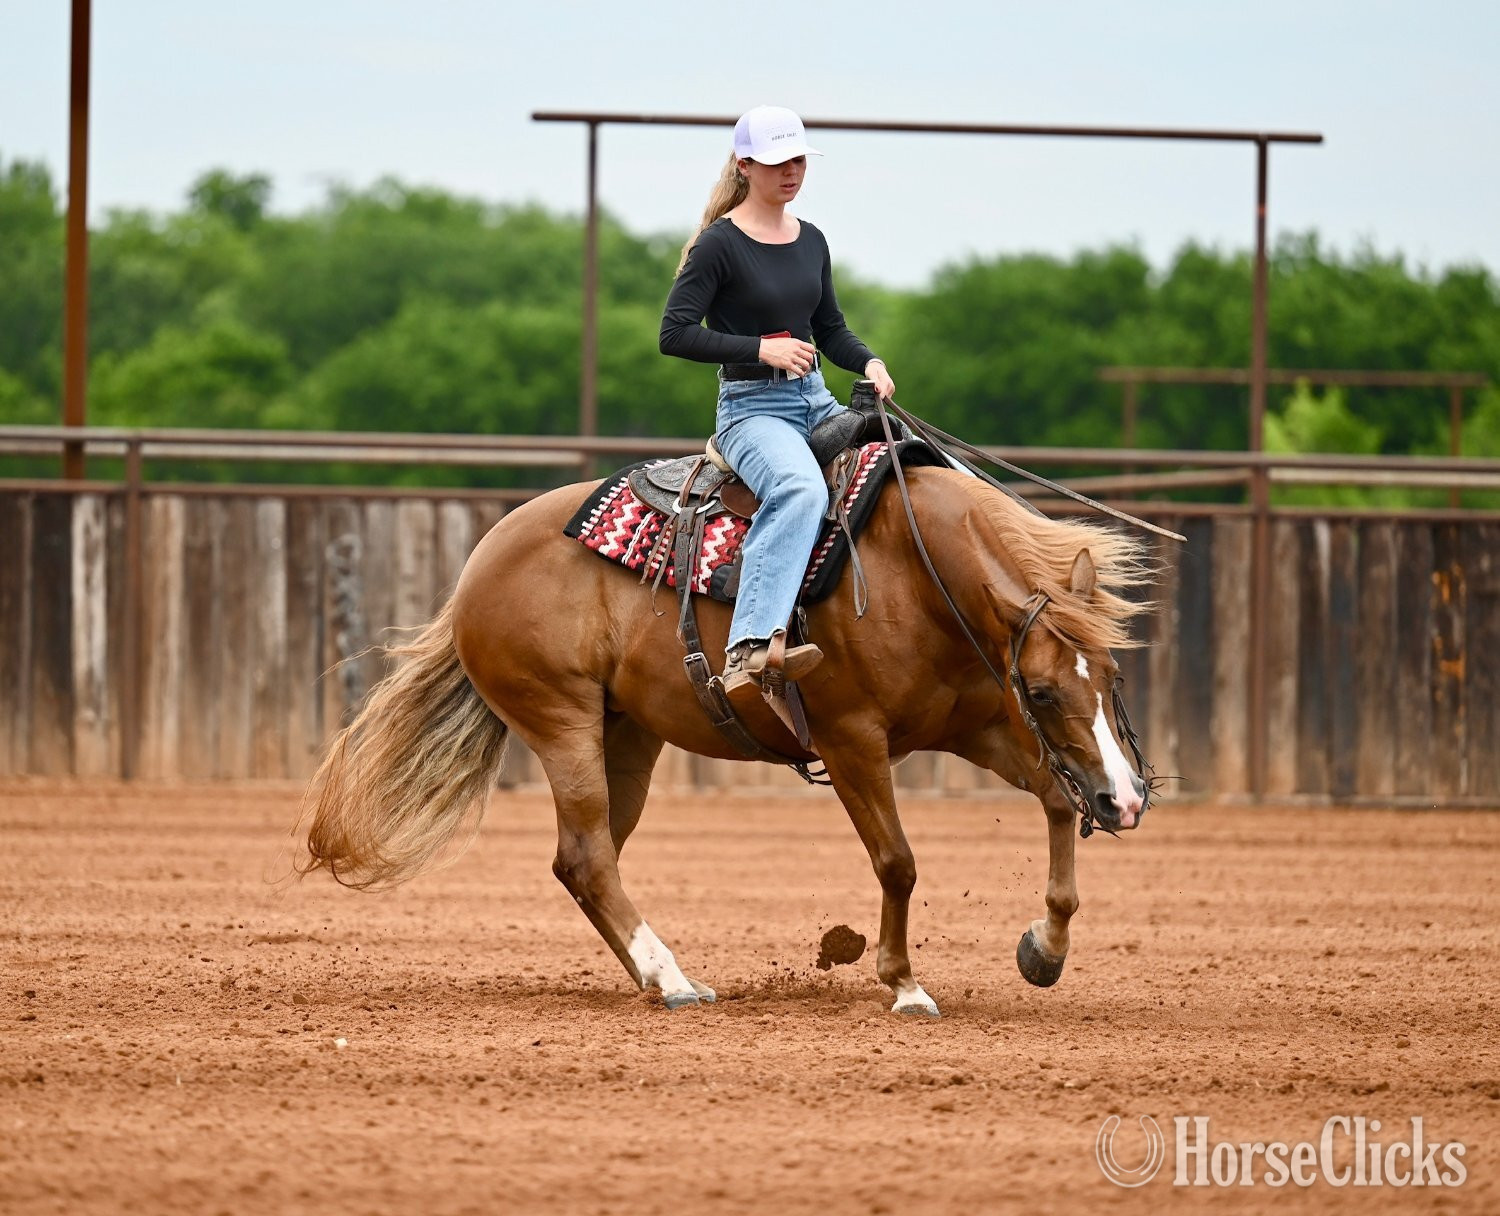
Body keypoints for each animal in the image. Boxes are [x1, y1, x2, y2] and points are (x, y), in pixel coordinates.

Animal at [300, 462, 1154, 1017]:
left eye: (1111, 675)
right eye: (1042, 690)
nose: (1126, 799)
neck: (916, 568)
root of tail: (479, 566)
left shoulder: (977, 727)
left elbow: (1055, 799)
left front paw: (1045, 948)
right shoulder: (851, 740)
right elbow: (898, 862)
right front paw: (904, 983)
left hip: (626, 736)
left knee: (584, 861)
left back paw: (656, 976)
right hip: (561, 720)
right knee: (588, 853)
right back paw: (672, 979)